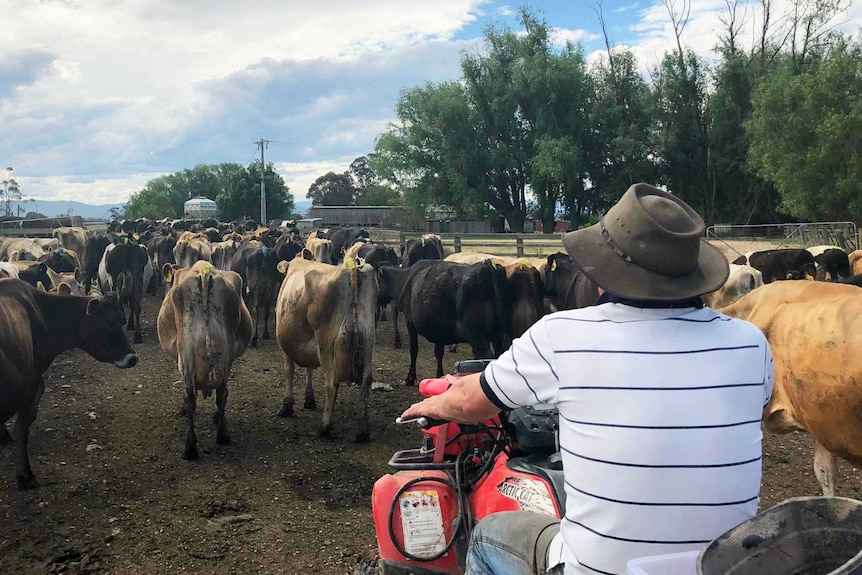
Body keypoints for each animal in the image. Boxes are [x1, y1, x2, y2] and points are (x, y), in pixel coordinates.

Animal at [0, 282, 138, 488]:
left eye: (121, 320)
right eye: (108, 322)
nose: (132, 357)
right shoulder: (32, 385)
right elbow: (22, 428)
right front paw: (25, 476)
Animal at [158, 260, 253, 460]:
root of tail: (204, 271)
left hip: (186, 351)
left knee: (191, 397)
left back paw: (191, 447)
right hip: (225, 352)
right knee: (221, 393)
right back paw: (222, 434)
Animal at [272, 256, 376, 440]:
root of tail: (351, 268)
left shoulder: (286, 347)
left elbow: (289, 371)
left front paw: (287, 406)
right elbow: (309, 370)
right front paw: (309, 399)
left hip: (326, 344)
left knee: (331, 382)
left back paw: (324, 427)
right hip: (367, 342)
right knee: (366, 381)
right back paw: (363, 432)